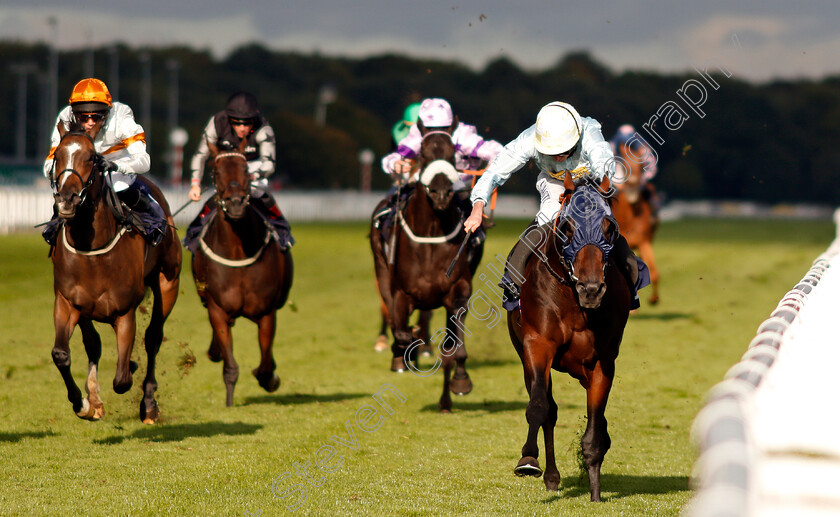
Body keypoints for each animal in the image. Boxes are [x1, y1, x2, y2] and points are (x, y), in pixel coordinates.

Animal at [48, 126, 180, 424]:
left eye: (91, 158)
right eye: (57, 155)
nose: (67, 200)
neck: (92, 249)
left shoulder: (124, 311)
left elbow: (122, 380)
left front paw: (131, 366)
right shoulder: (68, 301)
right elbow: (62, 354)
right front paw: (85, 403)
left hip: (168, 282)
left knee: (153, 337)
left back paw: (149, 404)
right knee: (93, 343)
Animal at [189, 139, 294, 406]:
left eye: (246, 169)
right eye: (215, 172)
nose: (235, 203)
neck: (237, 251)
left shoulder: (266, 312)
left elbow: (266, 364)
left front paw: (268, 378)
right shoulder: (218, 309)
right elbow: (230, 365)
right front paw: (228, 401)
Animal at [370, 120, 482, 412]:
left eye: (453, 154)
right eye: (423, 153)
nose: (441, 192)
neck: (431, 231)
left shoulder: (458, 290)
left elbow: (452, 348)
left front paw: (459, 383)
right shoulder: (401, 293)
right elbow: (401, 331)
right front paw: (403, 352)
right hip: (381, 270)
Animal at [506, 173, 632, 500]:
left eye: (609, 227)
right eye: (567, 227)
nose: (592, 289)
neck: (576, 304)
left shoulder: (603, 362)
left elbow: (595, 433)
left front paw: (596, 494)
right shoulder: (538, 346)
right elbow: (540, 407)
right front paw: (528, 459)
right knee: (548, 408)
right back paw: (550, 475)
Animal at [608, 142, 660, 302]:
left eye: (641, 165)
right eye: (624, 163)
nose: (632, 187)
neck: (629, 219)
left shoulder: (644, 242)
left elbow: (654, 273)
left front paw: (654, 299)